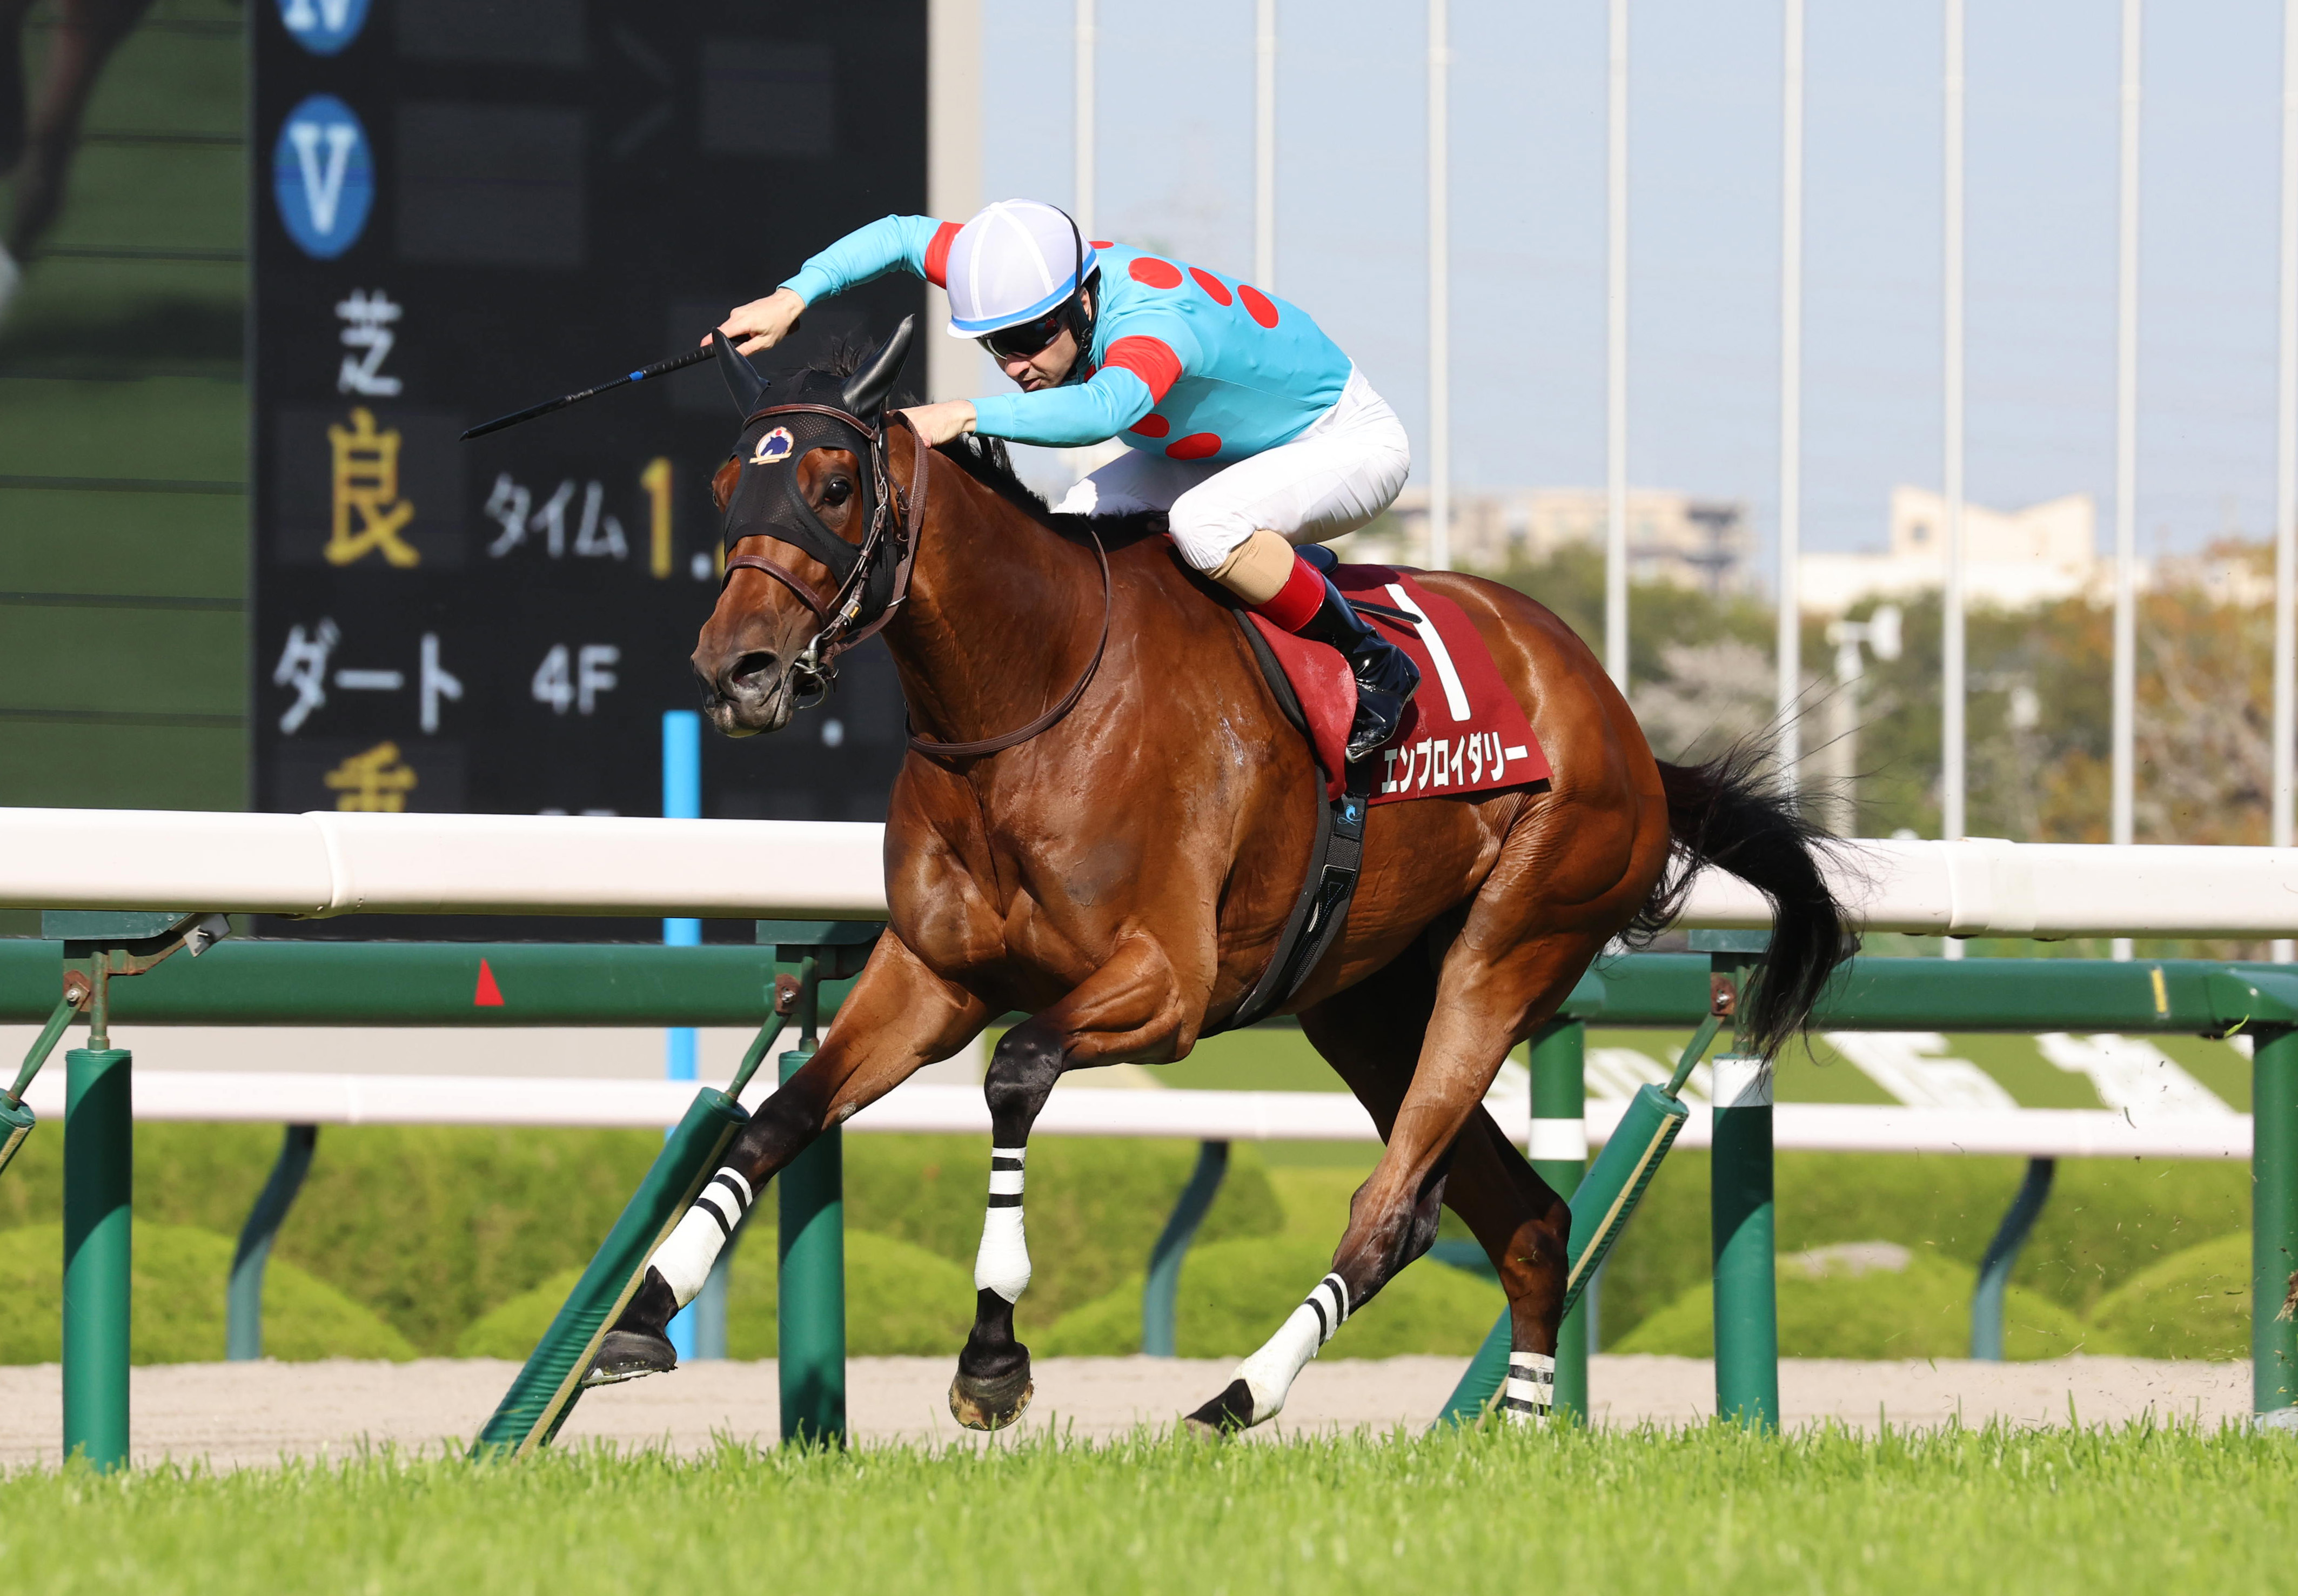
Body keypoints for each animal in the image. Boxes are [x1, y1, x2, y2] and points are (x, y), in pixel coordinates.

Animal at [612, 317, 1847, 1434]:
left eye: (829, 485)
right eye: (723, 483)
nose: (736, 669)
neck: (1031, 692)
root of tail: (1621, 723)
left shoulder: (1166, 983)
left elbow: (1015, 1071)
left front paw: (992, 1360)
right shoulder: (930, 977)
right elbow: (776, 1119)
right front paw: (642, 1310)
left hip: (1510, 943)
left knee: (1394, 1206)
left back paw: (1239, 1394)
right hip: (1365, 1003)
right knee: (1528, 1218)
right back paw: (1519, 1428)